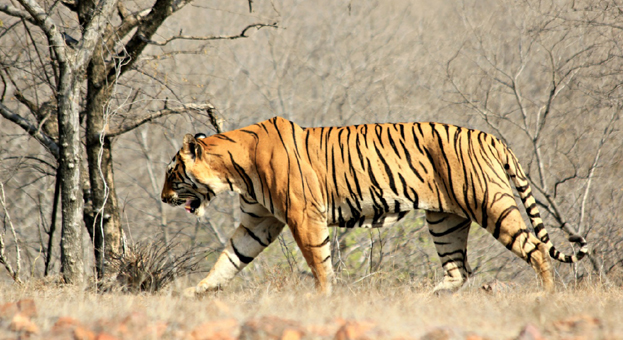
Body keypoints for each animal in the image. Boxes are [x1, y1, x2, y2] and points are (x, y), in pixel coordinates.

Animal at [161, 116, 588, 294]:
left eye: (172, 173)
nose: (163, 198)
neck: (234, 169)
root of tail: (491, 138)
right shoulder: (259, 221)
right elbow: (230, 258)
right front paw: (197, 292)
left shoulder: (303, 216)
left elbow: (319, 262)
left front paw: (325, 297)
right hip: (445, 219)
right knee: (458, 270)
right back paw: (425, 299)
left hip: (490, 204)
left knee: (534, 248)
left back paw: (545, 296)